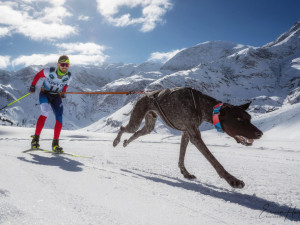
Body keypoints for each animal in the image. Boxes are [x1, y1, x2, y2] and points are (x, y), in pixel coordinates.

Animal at [112, 87, 262, 189]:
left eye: (249, 118)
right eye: (238, 119)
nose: (260, 133)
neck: (201, 105)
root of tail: (144, 96)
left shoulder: (186, 133)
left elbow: (181, 156)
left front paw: (185, 173)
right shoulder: (195, 135)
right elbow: (214, 161)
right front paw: (232, 180)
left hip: (148, 126)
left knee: (136, 133)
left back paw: (125, 142)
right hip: (136, 121)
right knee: (123, 128)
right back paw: (116, 141)